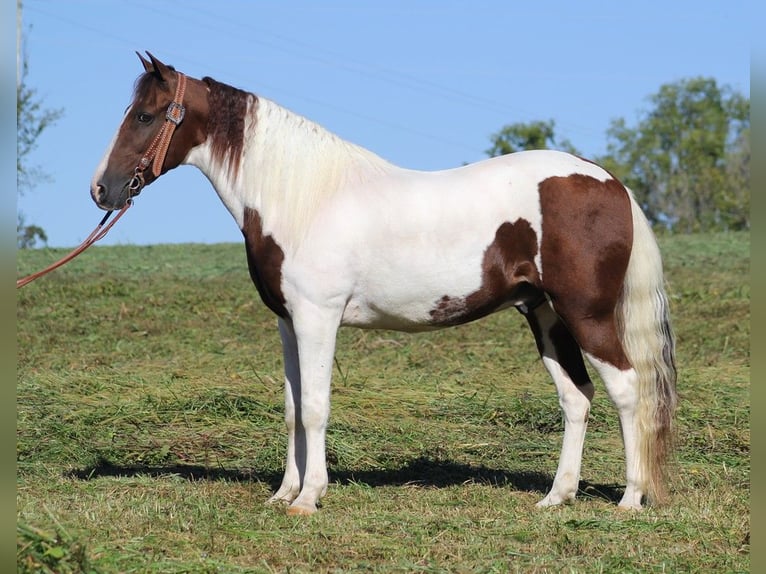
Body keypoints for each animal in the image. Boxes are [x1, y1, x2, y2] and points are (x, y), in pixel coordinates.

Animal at [91, 50, 680, 516]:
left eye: (144, 115)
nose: (101, 189)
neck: (303, 198)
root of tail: (610, 182)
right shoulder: (288, 324)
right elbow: (292, 408)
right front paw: (284, 494)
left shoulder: (318, 318)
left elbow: (315, 406)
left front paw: (309, 498)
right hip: (544, 315)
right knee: (576, 397)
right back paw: (557, 497)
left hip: (585, 313)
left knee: (628, 389)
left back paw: (630, 499)